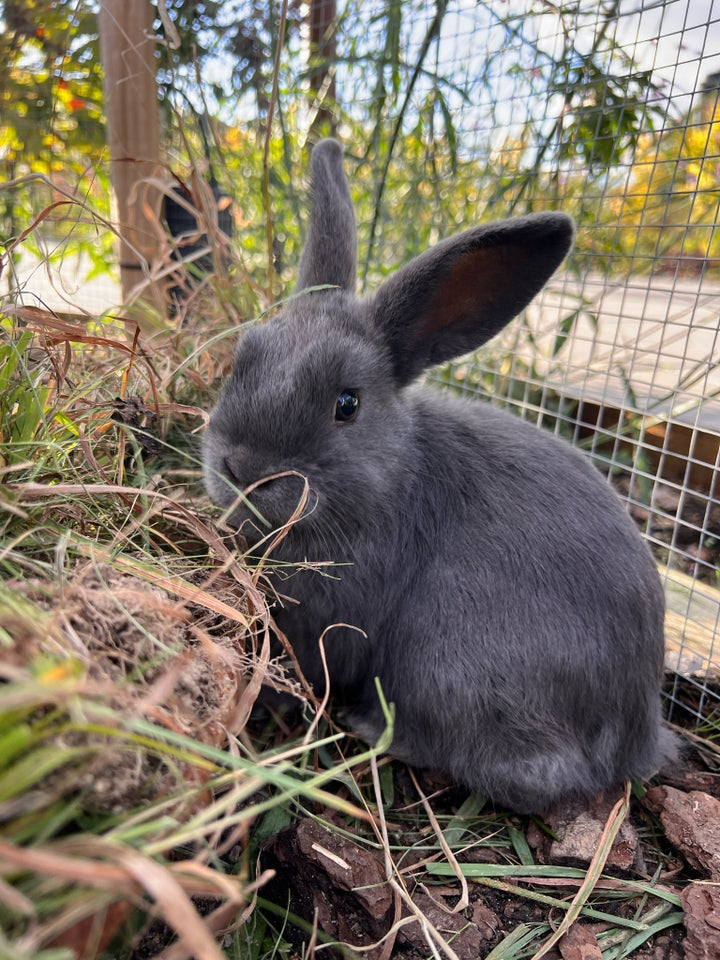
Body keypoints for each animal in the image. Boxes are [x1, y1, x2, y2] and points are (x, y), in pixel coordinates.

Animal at [204, 139, 676, 812]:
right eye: (243, 357)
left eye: (346, 403)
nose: (243, 469)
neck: (390, 478)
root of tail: (637, 739)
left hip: (451, 665)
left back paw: (371, 726)